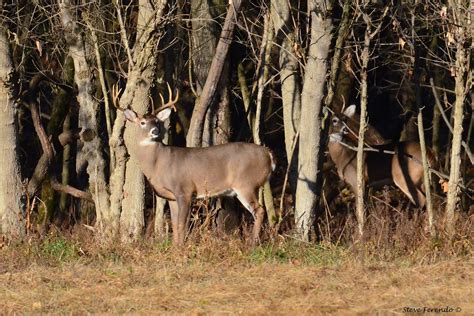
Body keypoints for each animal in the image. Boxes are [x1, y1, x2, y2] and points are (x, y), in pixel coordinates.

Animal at [113, 85, 274, 246]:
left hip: (246, 183)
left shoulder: (184, 190)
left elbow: (181, 223)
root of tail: (268, 155)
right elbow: (174, 224)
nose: (155, 131)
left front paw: (181, 247)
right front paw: (175, 246)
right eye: (142, 122)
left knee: (259, 211)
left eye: (157, 121)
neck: (158, 165)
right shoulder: (171, 197)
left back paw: (252, 244)